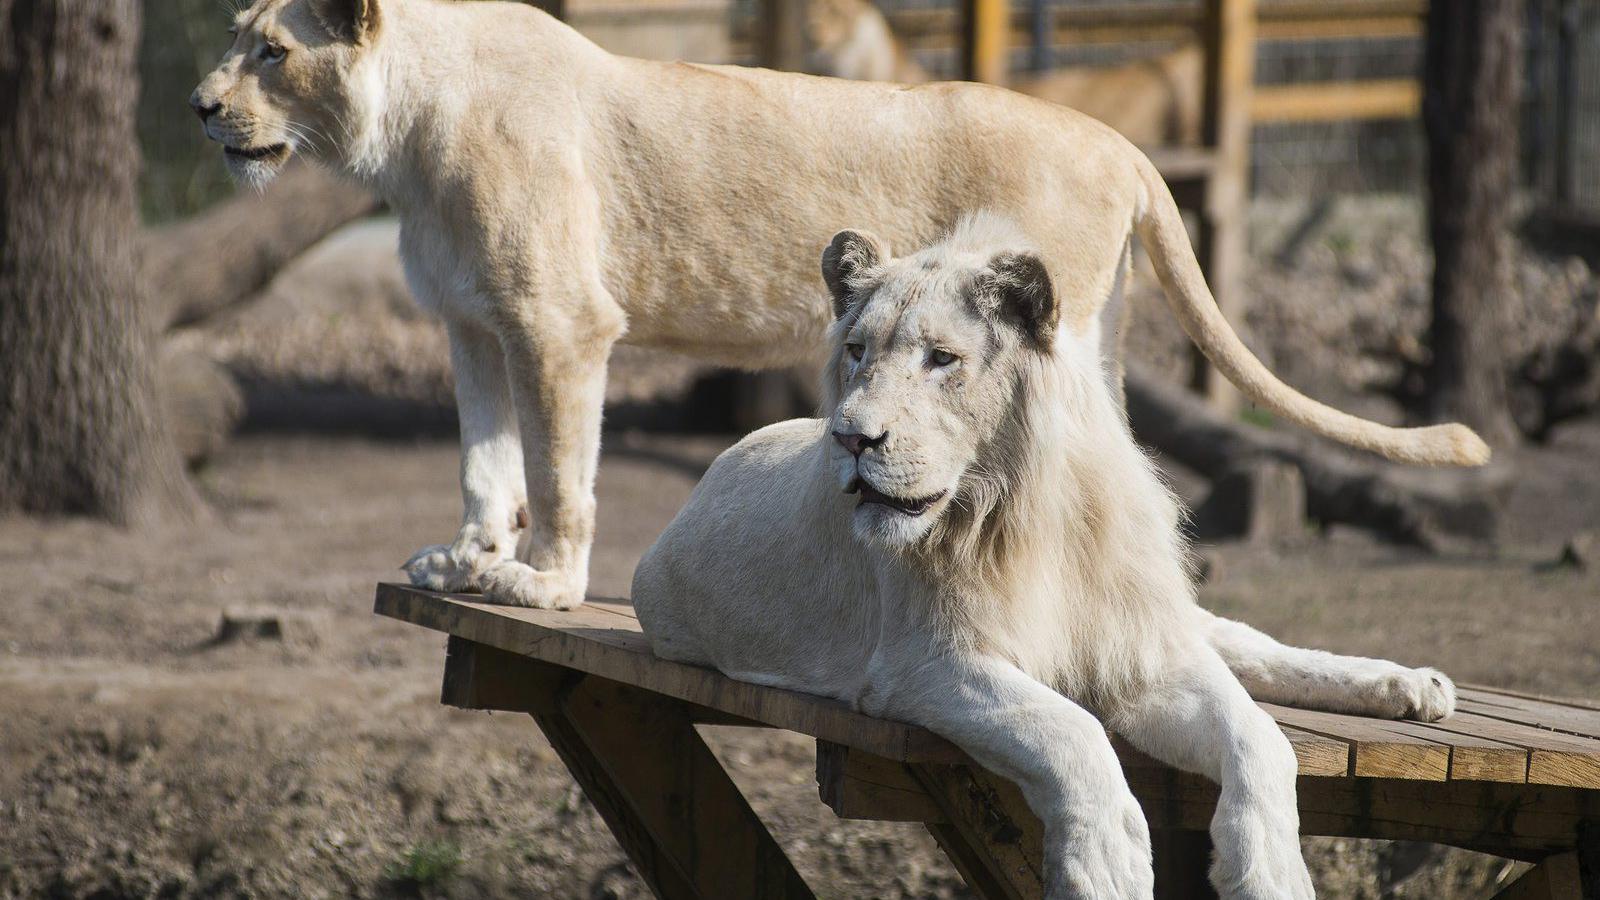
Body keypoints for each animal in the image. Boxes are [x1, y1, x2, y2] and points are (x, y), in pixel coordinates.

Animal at [630, 217, 1459, 896]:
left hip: (1173, 618)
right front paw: (1111, 865)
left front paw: (1272, 872)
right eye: (858, 351)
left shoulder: (1142, 654)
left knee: (1253, 648)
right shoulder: (926, 664)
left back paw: (1411, 685)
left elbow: (1259, 736)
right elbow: (1072, 732)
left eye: (941, 359)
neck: (1026, 509)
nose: (851, 438)